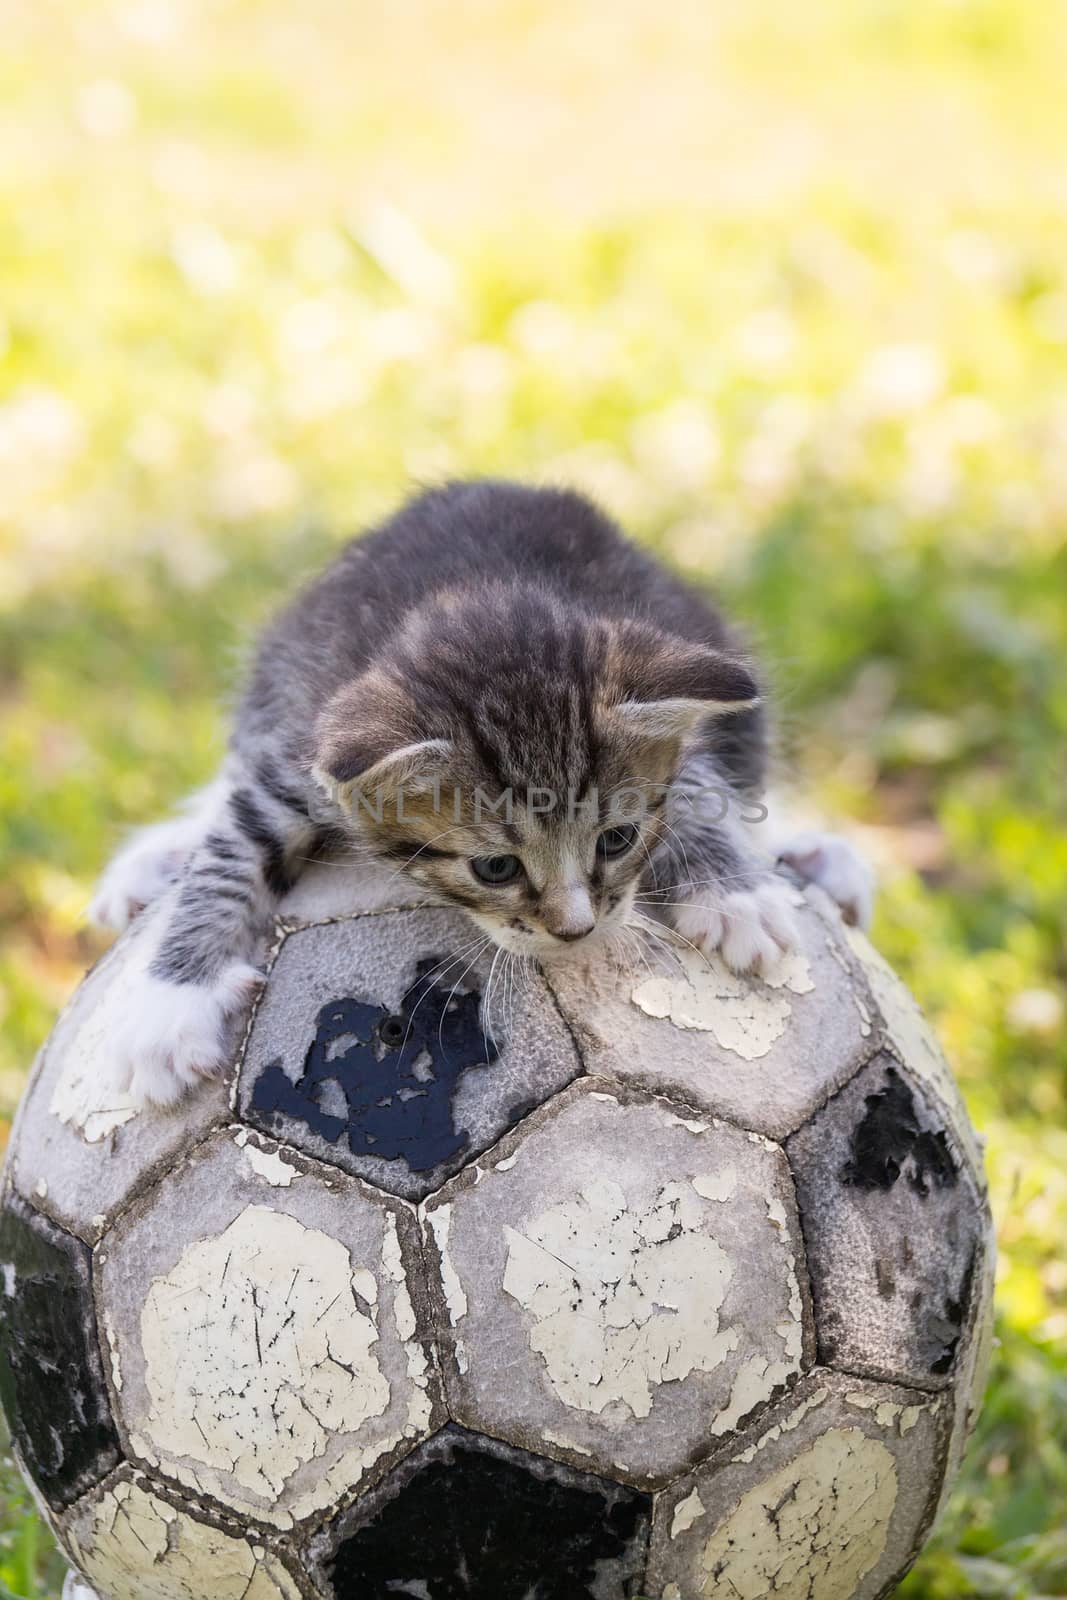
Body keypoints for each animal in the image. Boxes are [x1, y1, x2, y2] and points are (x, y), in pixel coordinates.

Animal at [91, 473, 870, 1107]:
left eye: (616, 839)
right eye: (495, 867)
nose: (575, 930)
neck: (475, 597)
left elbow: (700, 782)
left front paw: (731, 891)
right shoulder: (303, 742)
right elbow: (229, 849)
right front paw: (167, 1007)